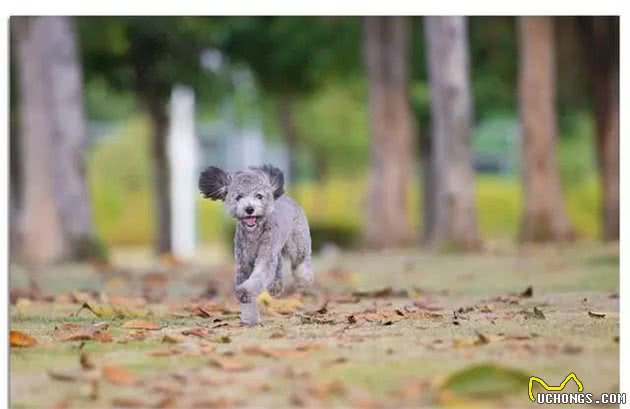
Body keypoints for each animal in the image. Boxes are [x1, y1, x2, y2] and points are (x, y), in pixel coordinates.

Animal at [199, 164, 314, 324]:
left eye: (259, 196)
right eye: (238, 197)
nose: (249, 209)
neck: (253, 234)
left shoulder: (265, 257)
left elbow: (257, 278)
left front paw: (244, 292)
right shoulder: (243, 264)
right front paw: (249, 318)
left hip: (297, 243)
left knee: (301, 260)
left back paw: (305, 279)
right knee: (278, 264)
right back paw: (275, 287)